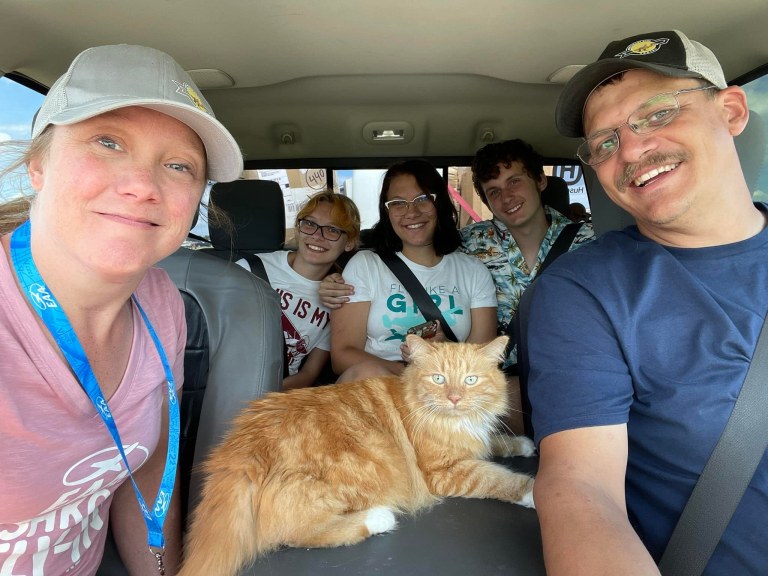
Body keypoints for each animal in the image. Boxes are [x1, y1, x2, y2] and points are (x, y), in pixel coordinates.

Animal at [179, 332, 536, 576]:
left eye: (470, 380)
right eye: (438, 379)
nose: (454, 398)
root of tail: (244, 445)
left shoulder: (474, 442)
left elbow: (494, 442)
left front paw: (522, 443)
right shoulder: (446, 471)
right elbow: (497, 478)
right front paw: (534, 490)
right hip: (361, 468)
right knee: (290, 533)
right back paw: (378, 518)